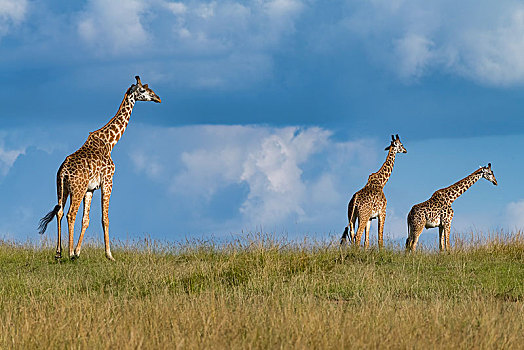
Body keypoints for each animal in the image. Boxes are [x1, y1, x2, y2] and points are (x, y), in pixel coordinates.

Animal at [38, 77, 161, 262]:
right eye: (143, 90)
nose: (157, 98)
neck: (110, 142)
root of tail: (64, 171)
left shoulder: (91, 189)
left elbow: (86, 219)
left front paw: (78, 251)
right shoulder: (108, 181)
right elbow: (105, 218)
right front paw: (109, 255)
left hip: (62, 189)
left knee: (60, 212)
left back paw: (59, 253)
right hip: (77, 189)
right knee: (70, 214)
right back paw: (68, 253)